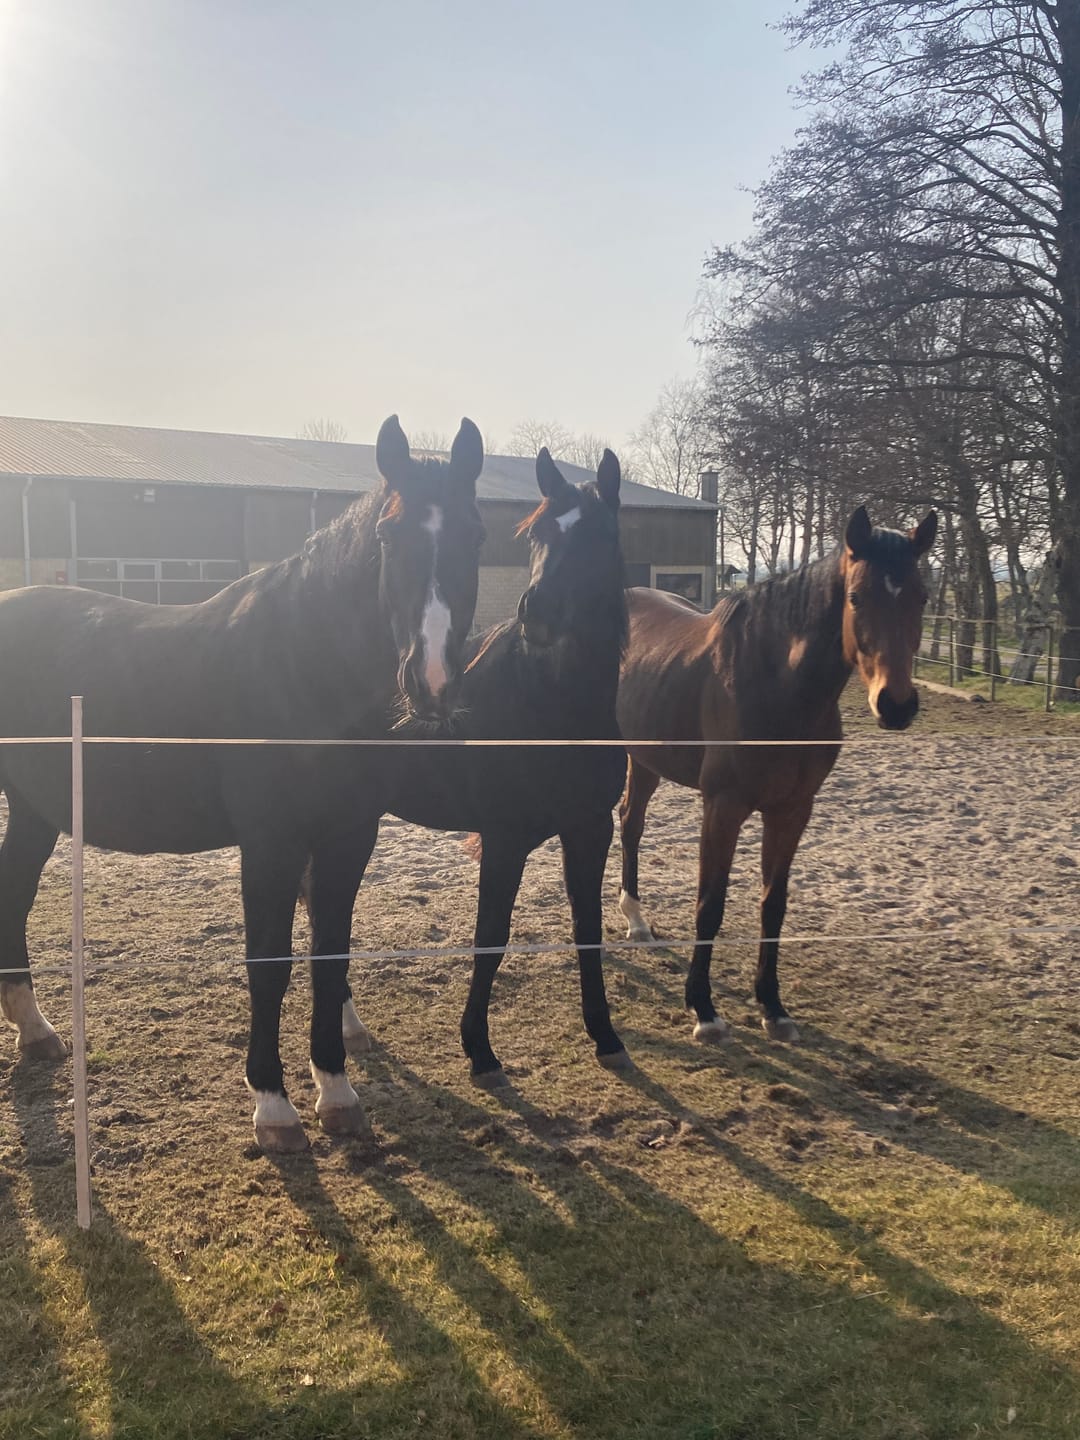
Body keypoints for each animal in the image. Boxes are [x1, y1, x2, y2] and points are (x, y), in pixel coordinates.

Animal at [0, 415, 486, 1152]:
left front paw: (337, 1092)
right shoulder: (270, 843)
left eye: (475, 536)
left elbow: (329, 957)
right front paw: (274, 1108)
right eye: (387, 537)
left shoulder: (350, 837)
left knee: (13, 895)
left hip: (33, 809)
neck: (303, 667)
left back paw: (36, 1032)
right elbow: (269, 964)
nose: (429, 681)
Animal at [329, 447, 630, 1087]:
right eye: (538, 535)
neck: (550, 708)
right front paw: (480, 1051)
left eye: (601, 534)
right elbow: (490, 937)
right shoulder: (505, 837)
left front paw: (606, 1036)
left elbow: (588, 929)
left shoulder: (591, 829)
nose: (537, 612)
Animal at [616, 506, 937, 1044]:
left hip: (644, 759)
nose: (895, 705)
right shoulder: (723, 807)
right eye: (856, 597)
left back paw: (637, 921)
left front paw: (772, 1005)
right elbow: (711, 904)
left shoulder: (792, 810)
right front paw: (703, 1009)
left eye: (922, 596)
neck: (778, 685)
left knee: (631, 823)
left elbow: (773, 904)